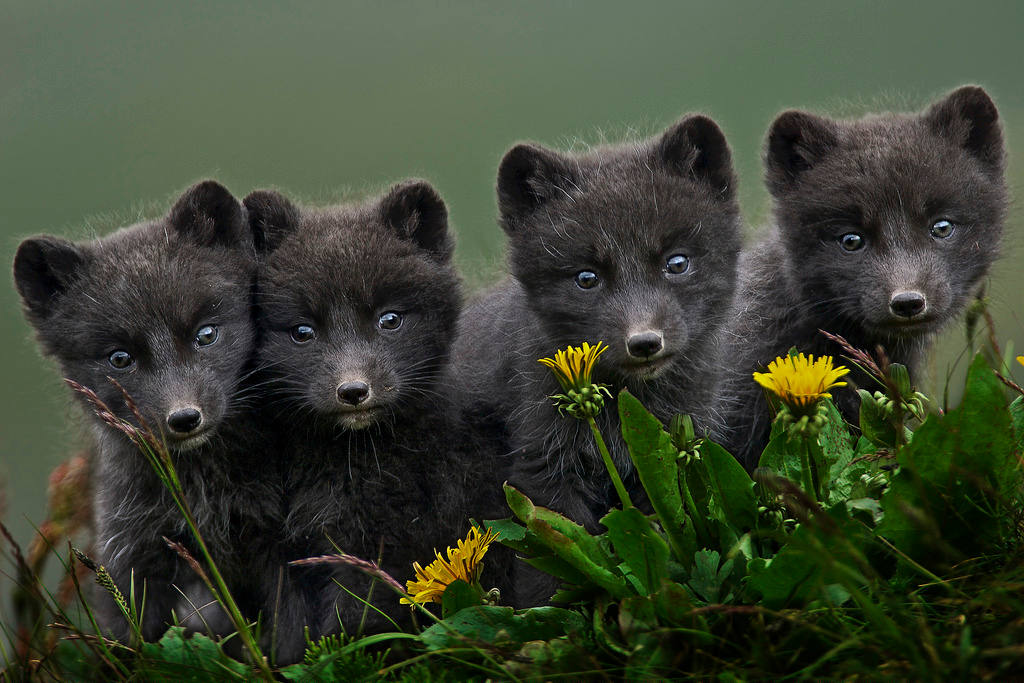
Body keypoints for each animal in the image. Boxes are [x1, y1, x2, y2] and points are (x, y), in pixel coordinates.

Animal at [12, 181, 283, 644]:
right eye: (120, 358)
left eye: (205, 334)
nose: (184, 418)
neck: (203, 496)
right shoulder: (130, 554)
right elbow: (136, 640)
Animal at [450, 114, 743, 602]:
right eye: (586, 277)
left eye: (676, 262)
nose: (644, 342)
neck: (623, 406)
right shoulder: (542, 466)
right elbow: (554, 569)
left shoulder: (677, 448)